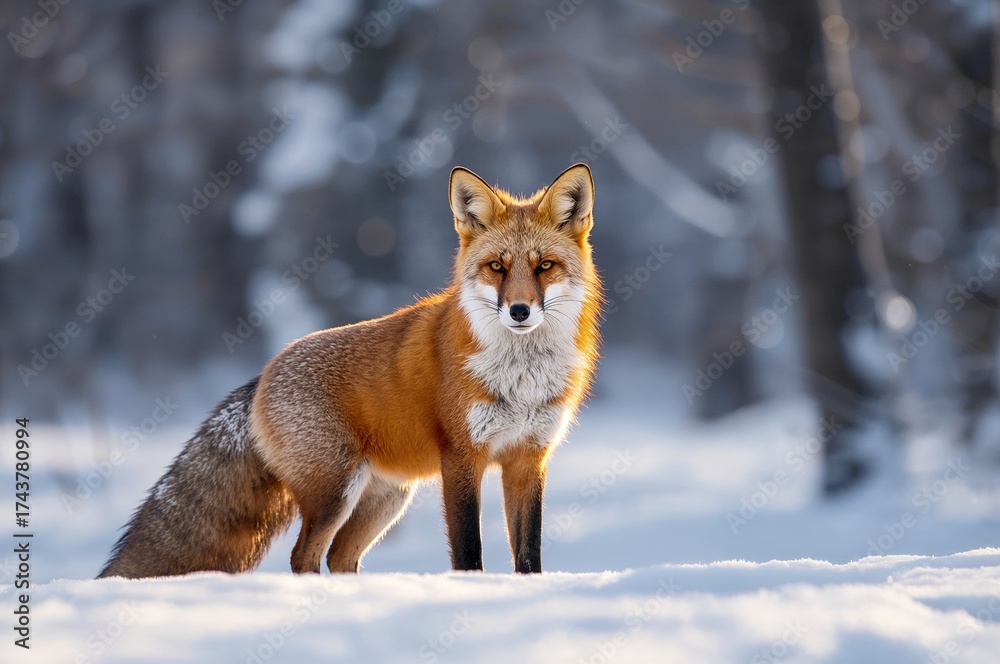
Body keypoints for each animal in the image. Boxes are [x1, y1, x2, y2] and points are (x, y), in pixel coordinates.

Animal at [98, 163, 602, 578]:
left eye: (545, 266)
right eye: (497, 266)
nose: (518, 311)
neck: (522, 380)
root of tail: (263, 374)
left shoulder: (528, 460)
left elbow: (529, 556)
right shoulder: (462, 458)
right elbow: (468, 553)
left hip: (385, 499)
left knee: (341, 556)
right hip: (335, 491)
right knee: (304, 556)